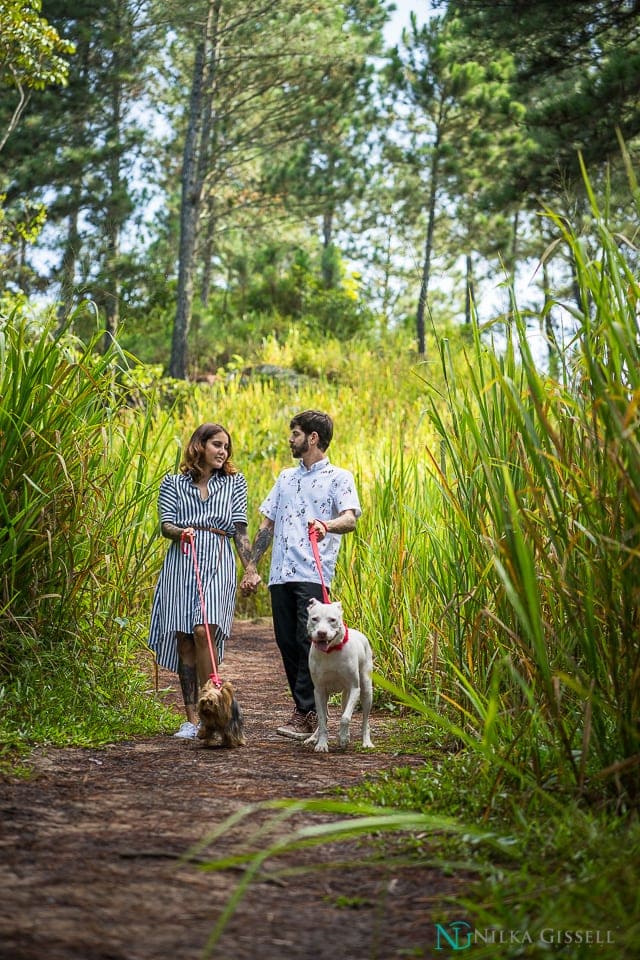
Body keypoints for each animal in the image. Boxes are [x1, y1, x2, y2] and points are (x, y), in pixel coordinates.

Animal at [306, 600, 376, 752]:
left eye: (332, 620)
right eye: (314, 619)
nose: (322, 633)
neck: (330, 651)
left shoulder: (354, 688)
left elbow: (345, 718)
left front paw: (343, 739)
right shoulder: (319, 691)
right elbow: (322, 719)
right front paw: (321, 744)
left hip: (366, 691)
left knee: (364, 720)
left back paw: (366, 741)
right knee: (327, 715)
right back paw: (313, 737)